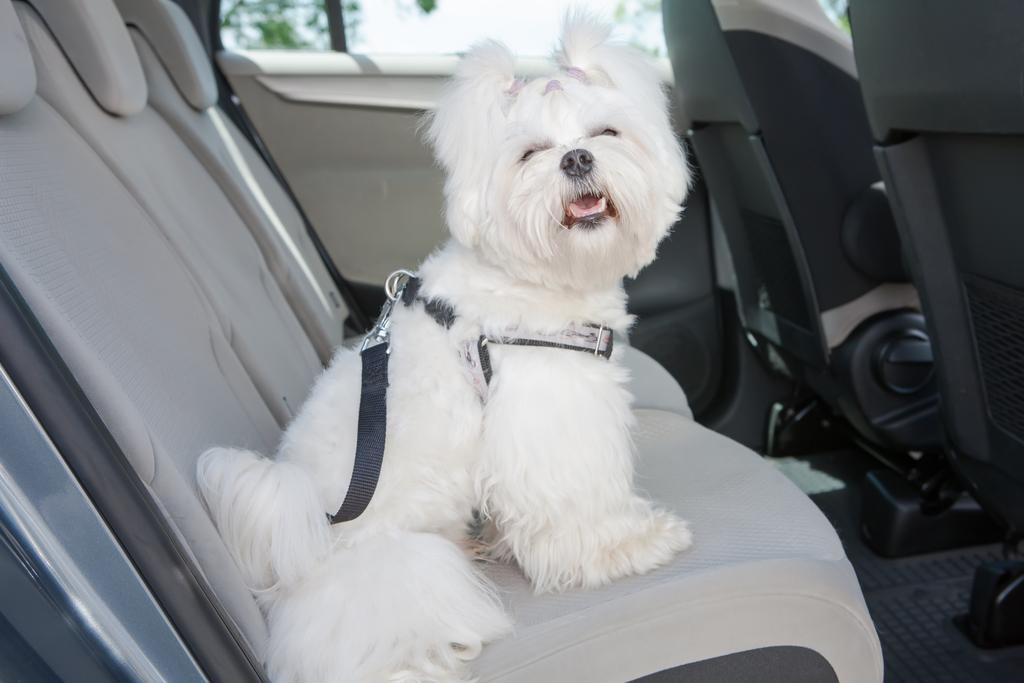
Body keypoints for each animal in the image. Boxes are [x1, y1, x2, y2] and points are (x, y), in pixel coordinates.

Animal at [195, 15, 692, 683]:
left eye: (605, 133)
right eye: (530, 153)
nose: (577, 158)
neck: (532, 278)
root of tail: (296, 556)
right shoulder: (550, 419)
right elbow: (578, 504)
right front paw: (631, 546)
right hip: (399, 568)